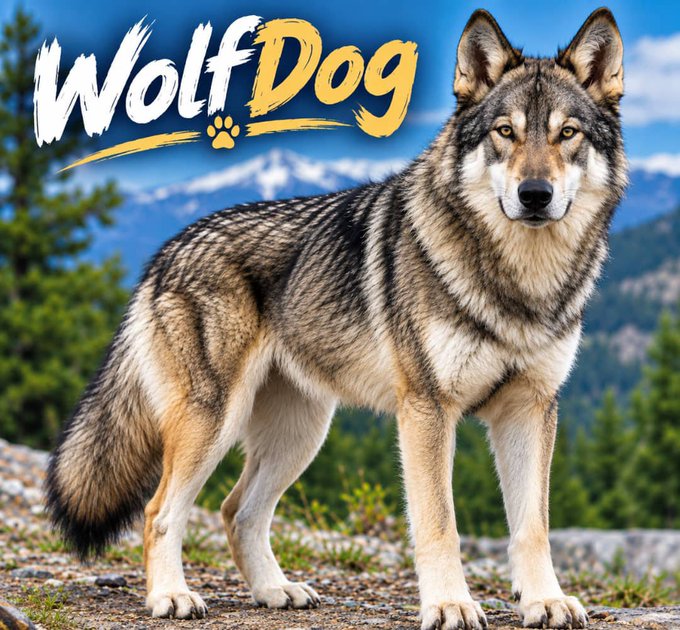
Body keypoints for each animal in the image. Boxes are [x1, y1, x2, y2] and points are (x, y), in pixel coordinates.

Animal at [45, 7, 626, 629]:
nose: (535, 194)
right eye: (505, 132)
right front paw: (449, 604)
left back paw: (276, 591)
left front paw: (545, 601)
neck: (520, 284)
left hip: (300, 434)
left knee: (236, 511)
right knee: (160, 510)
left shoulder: (530, 410)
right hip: (214, 423)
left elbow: (533, 528)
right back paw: (170, 597)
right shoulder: (427, 411)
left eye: (567, 134)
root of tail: (166, 251)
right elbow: (440, 526)